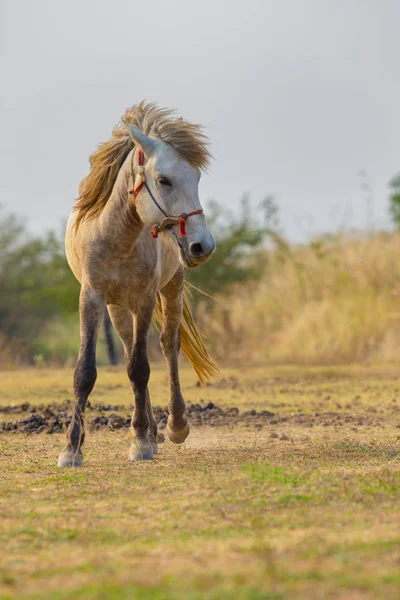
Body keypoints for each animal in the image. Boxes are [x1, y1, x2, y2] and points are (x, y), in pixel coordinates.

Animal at [57, 102, 217, 468]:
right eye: (164, 180)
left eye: (196, 178)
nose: (203, 245)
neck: (117, 235)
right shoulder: (92, 297)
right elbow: (86, 371)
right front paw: (72, 448)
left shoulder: (144, 299)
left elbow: (140, 369)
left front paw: (142, 442)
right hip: (117, 307)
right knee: (131, 347)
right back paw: (150, 431)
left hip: (171, 289)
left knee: (168, 346)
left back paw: (173, 427)